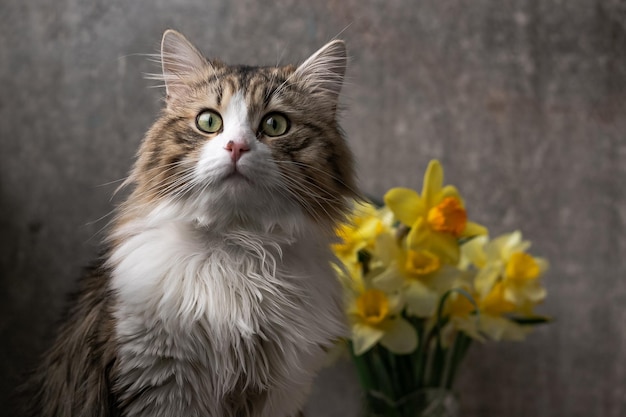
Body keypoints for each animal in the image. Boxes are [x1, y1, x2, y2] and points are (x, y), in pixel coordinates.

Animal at [19, 29, 356, 416]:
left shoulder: (281, 391)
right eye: (209, 121)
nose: (236, 147)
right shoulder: (160, 382)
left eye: (275, 125)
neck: (237, 245)